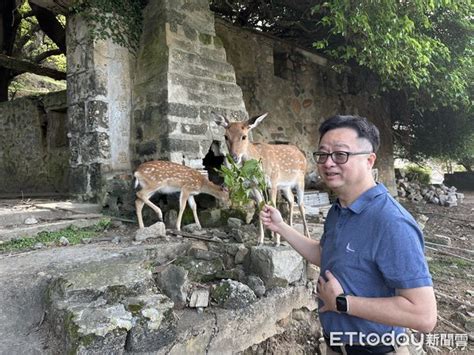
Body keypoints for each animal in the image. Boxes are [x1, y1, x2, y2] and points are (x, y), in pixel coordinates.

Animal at [212, 112, 310, 246]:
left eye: (244, 136)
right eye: (226, 136)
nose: (234, 157)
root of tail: (302, 155)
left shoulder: (273, 182)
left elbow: (273, 205)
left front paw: (276, 241)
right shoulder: (254, 185)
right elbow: (260, 207)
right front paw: (260, 240)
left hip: (300, 181)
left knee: (301, 204)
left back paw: (306, 235)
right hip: (285, 186)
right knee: (291, 200)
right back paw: (288, 232)